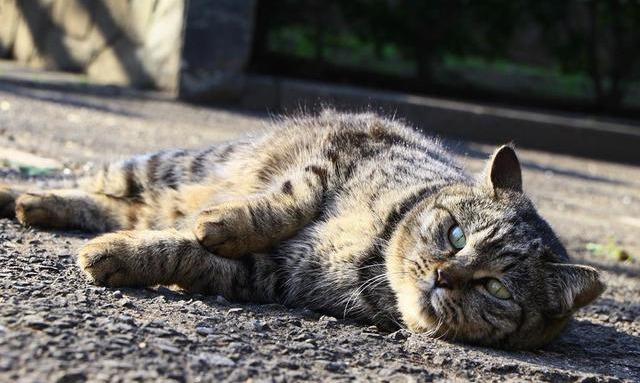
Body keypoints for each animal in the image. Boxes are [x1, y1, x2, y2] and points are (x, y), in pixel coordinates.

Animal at [0, 109, 604, 350]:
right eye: (455, 235)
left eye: (496, 288)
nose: (444, 275)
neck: (374, 250)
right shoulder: (334, 160)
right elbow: (282, 202)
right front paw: (221, 221)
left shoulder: (274, 275)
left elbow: (182, 253)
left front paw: (121, 256)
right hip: (164, 166)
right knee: (94, 181)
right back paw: (21, 195)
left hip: (152, 199)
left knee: (117, 211)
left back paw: (40, 208)